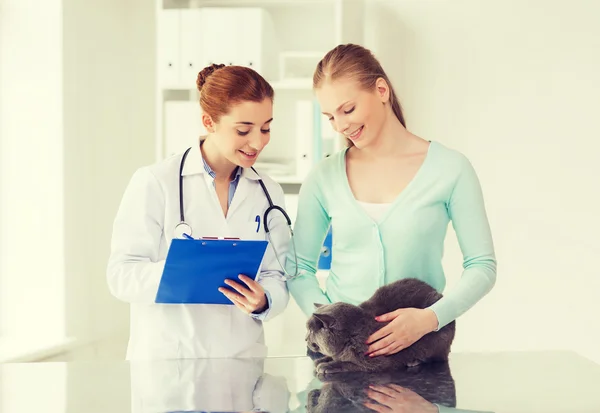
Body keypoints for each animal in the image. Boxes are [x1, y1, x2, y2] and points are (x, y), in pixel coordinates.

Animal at [304, 276, 454, 376]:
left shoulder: (375, 361)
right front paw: (323, 360)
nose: (305, 338)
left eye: (311, 331)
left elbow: (349, 364)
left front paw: (327, 365)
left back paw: (414, 361)